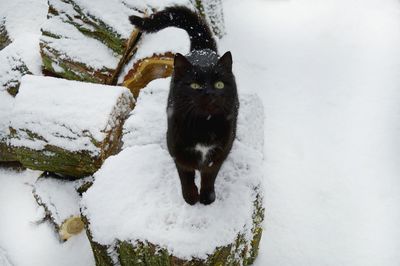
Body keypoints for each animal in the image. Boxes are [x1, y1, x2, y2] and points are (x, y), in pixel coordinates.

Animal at [130, 6, 239, 206]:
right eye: (195, 85)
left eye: (219, 84)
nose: (209, 93)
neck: (204, 125)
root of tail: (202, 49)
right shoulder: (177, 148)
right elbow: (185, 175)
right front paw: (190, 197)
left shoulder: (220, 152)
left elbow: (209, 175)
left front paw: (207, 197)